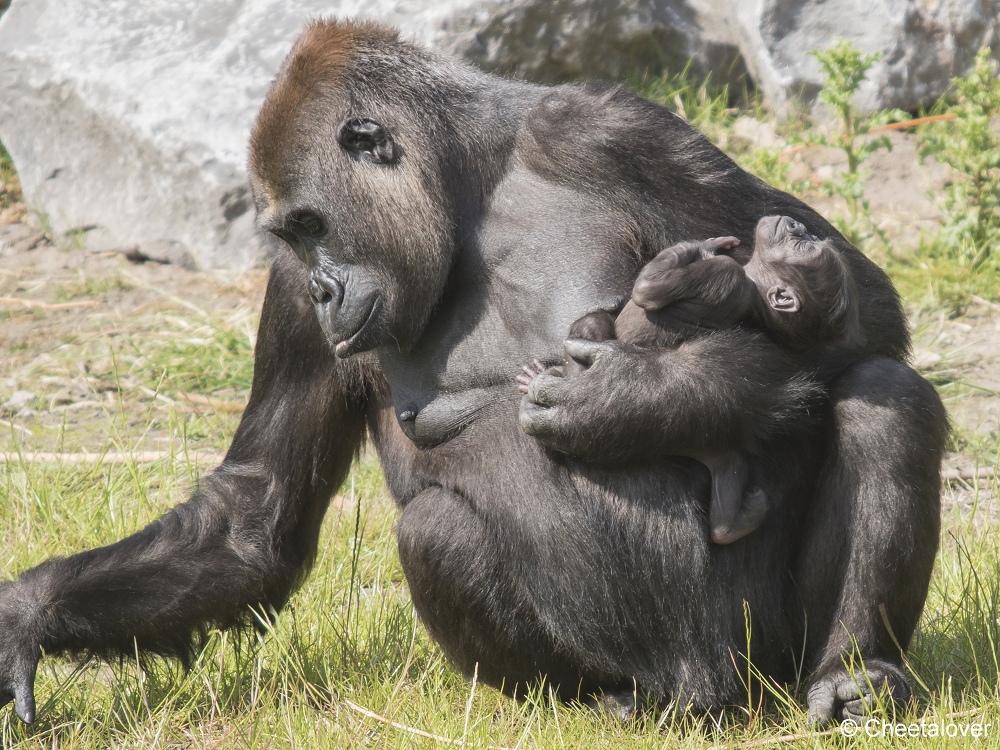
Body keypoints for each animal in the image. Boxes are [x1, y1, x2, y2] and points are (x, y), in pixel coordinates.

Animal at [524, 217, 860, 548]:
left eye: (804, 246)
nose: (796, 226)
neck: (753, 290)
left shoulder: (723, 274)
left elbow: (649, 290)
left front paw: (701, 246)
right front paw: (711, 244)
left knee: (592, 325)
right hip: (712, 441)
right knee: (730, 467)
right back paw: (733, 522)